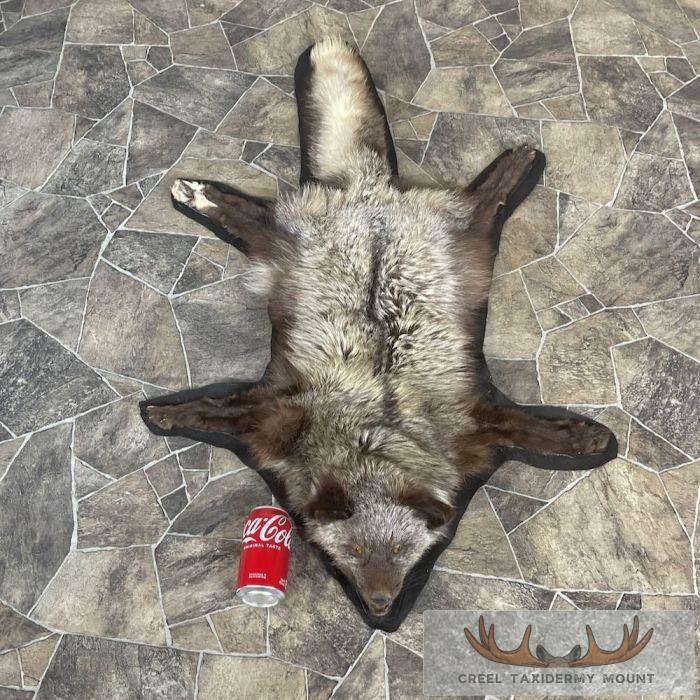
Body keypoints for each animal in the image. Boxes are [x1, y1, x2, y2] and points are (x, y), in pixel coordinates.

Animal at [145, 37, 614, 618]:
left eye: (400, 549)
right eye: (352, 552)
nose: (382, 607)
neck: (374, 432)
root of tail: (368, 192)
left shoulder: (471, 428)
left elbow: (529, 429)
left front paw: (584, 437)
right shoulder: (276, 420)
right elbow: (213, 410)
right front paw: (165, 413)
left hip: (468, 236)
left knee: (483, 201)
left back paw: (518, 160)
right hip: (285, 242)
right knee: (252, 216)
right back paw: (199, 194)